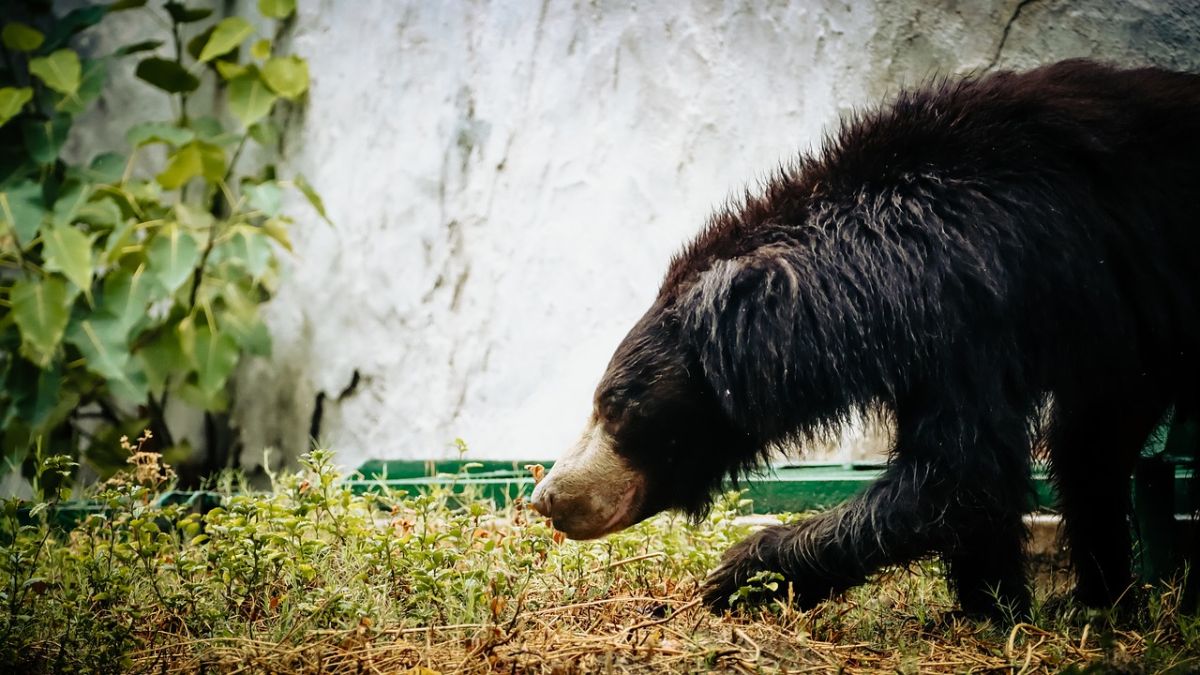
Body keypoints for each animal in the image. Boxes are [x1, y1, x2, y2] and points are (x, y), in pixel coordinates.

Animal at [532, 60, 1200, 619]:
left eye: (616, 408)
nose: (545, 497)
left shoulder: (974, 314)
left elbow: (960, 470)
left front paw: (740, 573)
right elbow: (985, 470)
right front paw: (993, 609)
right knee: (1090, 447)